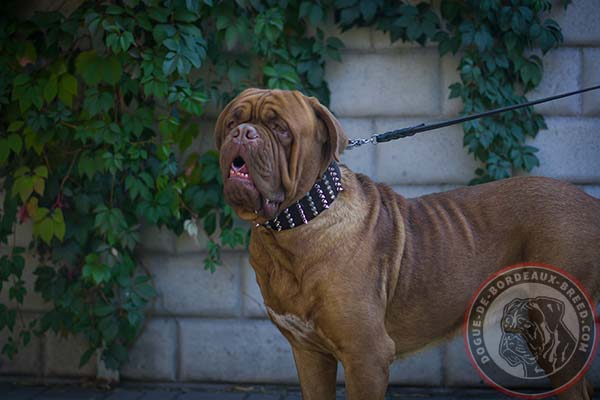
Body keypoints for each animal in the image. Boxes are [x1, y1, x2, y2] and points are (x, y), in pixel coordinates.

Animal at [214, 88, 600, 400]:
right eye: (233, 120)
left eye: (280, 128)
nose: (243, 133)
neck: (296, 223)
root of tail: (590, 201)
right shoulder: (309, 354)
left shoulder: (367, 356)